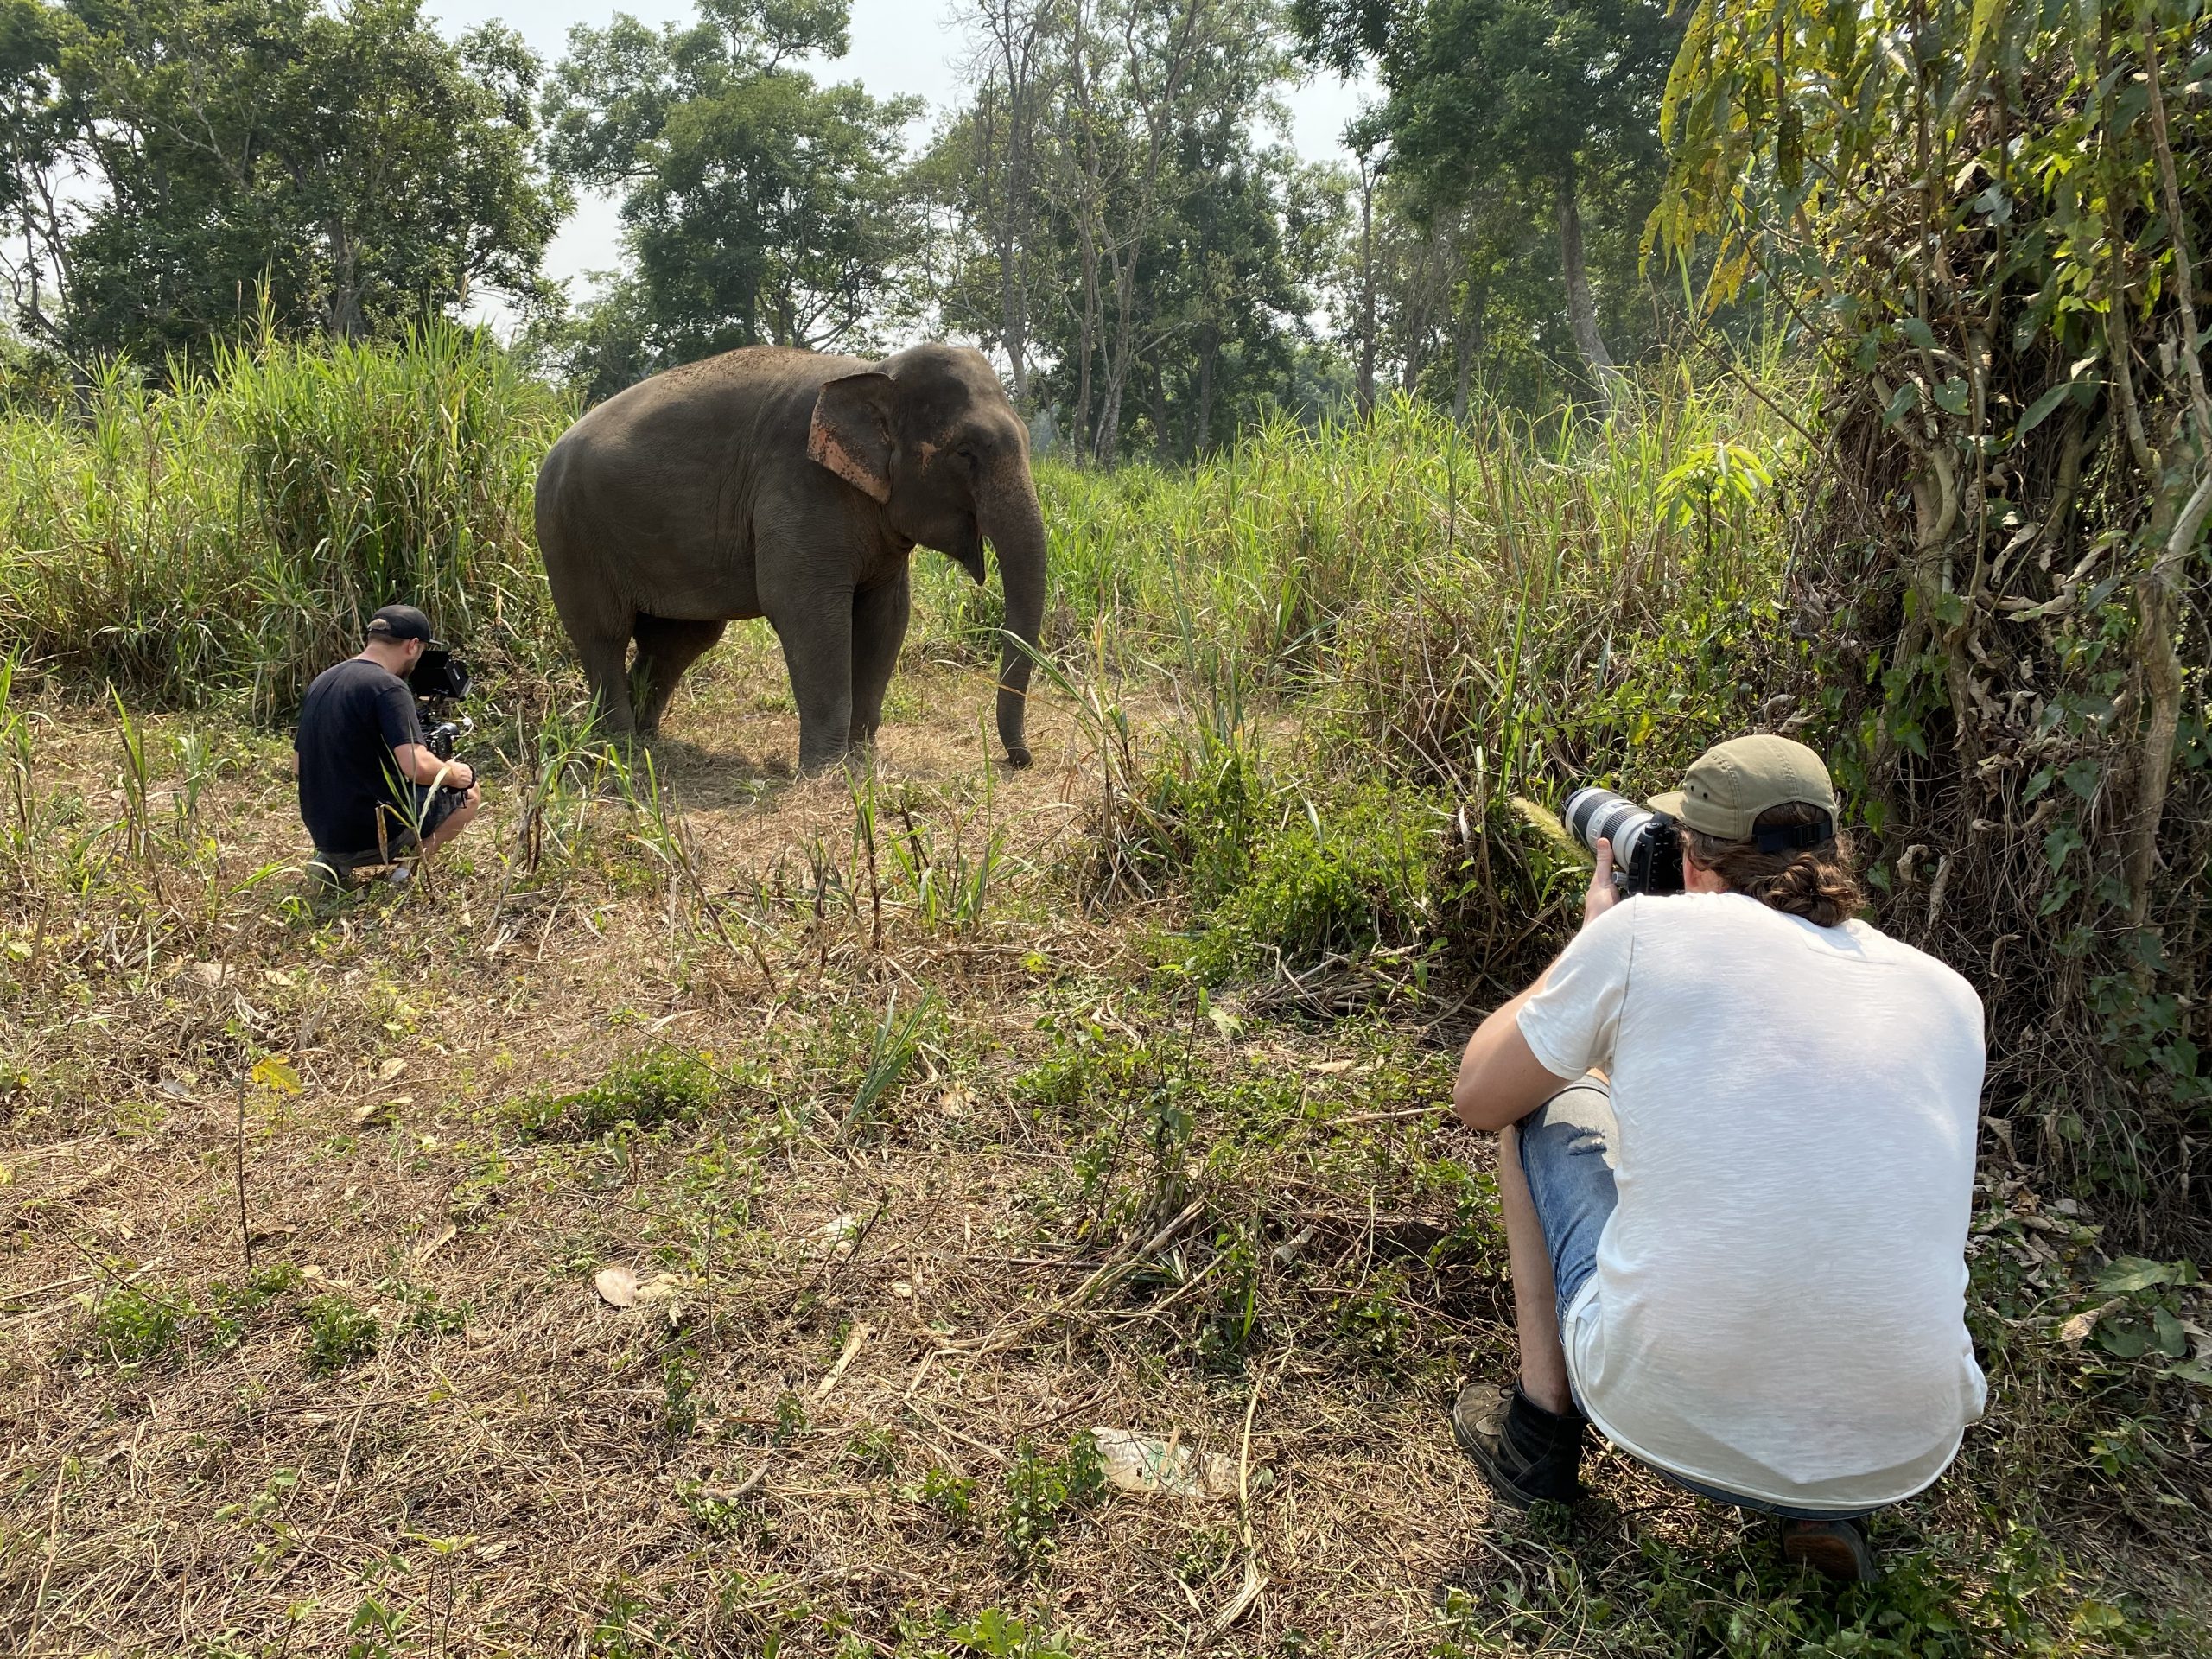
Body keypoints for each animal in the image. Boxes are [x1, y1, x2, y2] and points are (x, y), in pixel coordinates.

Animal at [539, 342, 1048, 779]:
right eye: (965, 451)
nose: (1020, 759)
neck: (875, 369)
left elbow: (887, 618)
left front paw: (862, 761)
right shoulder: (800, 487)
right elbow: (806, 611)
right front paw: (827, 773)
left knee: (678, 640)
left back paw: (648, 742)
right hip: (570, 537)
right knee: (603, 635)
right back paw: (617, 748)